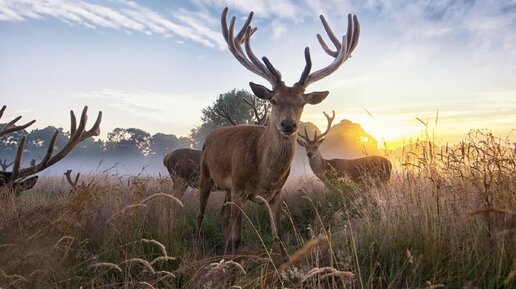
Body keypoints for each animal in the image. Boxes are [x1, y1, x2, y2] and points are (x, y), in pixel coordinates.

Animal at [196, 6, 360, 255]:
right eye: (273, 100)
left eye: (302, 103)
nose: (288, 124)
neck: (264, 176)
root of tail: (211, 136)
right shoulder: (239, 187)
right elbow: (237, 238)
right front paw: (233, 263)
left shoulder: (276, 194)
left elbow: (279, 236)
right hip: (206, 175)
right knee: (201, 216)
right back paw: (202, 249)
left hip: (226, 189)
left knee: (222, 214)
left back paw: (223, 252)